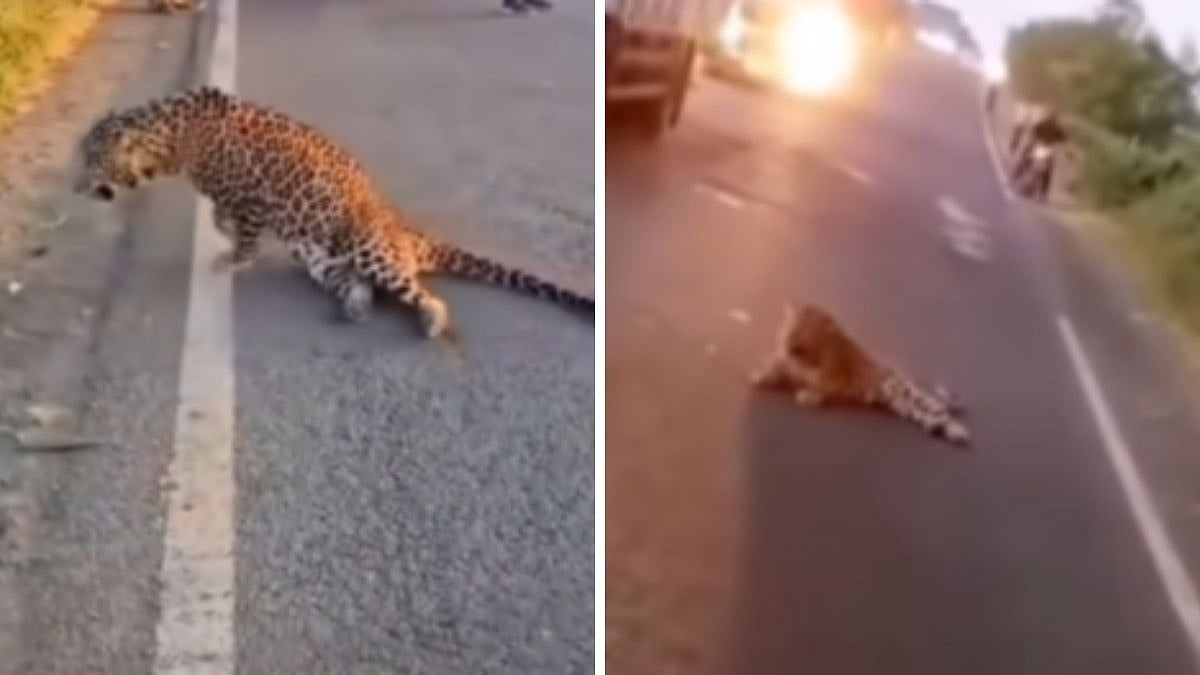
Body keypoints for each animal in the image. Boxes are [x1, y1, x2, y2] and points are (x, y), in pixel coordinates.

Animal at [73, 86, 593, 339]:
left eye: (91, 161)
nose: (76, 187)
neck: (170, 144)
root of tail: (403, 229)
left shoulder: (252, 196)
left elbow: (245, 233)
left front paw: (234, 256)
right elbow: (224, 217)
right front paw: (223, 235)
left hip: (366, 246)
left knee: (420, 293)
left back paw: (430, 321)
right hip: (319, 257)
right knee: (358, 284)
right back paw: (356, 307)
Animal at [749, 301, 970, 447]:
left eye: (803, 333)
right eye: (790, 330)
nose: (788, 346)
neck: (807, 358)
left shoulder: (837, 378)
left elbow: (823, 386)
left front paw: (810, 395)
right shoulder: (786, 363)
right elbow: (776, 368)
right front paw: (761, 375)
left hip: (907, 392)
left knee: (938, 409)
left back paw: (960, 431)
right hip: (907, 409)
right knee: (930, 420)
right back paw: (947, 431)